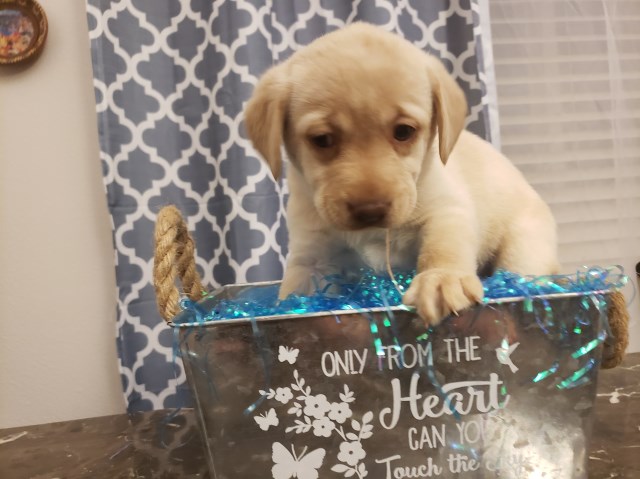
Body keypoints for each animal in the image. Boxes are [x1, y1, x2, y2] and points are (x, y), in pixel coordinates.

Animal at [242, 23, 556, 326]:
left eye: (404, 131)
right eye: (322, 139)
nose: (370, 210)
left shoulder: (447, 209)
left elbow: (443, 247)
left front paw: (441, 280)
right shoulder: (311, 255)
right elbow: (297, 289)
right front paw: (288, 308)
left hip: (524, 248)